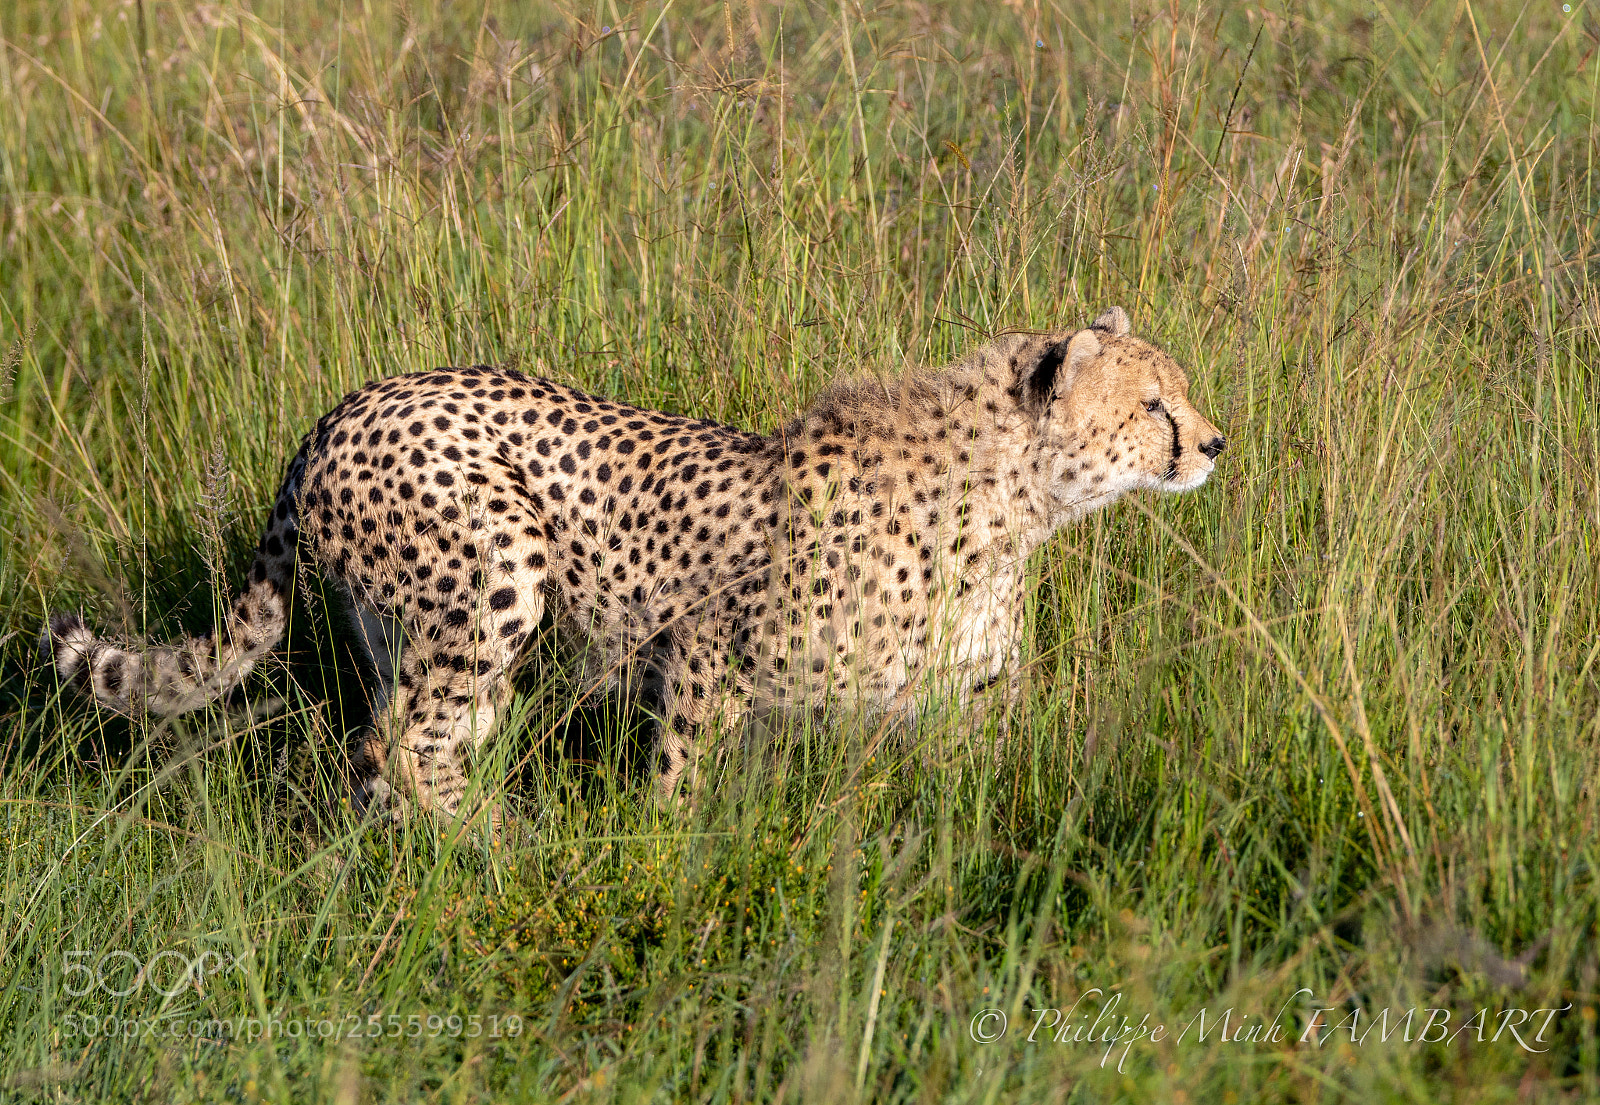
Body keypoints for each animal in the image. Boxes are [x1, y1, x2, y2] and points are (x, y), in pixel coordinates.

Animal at [45, 306, 1226, 822]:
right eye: (1151, 404)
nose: (1215, 443)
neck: (1014, 501)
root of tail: (346, 404)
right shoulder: (704, 644)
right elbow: (684, 782)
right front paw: (668, 860)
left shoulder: (967, 697)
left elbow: (993, 791)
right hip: (496, 566)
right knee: (405, 740)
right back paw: (497, 849)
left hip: (415, 629)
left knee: (397, 741)